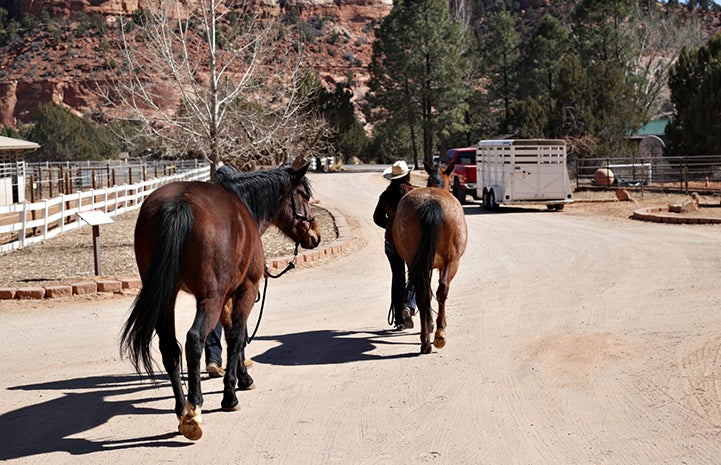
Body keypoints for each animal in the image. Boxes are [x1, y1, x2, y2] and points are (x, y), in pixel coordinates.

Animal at [120, 158, 320, 436]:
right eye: (304, 195)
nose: (315, 235)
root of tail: (179, 203)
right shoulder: (245, 289)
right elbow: (237, 336)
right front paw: (231, 394)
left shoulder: (225, 297)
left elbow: (228, 332)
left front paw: (242, 378)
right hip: (209, 298)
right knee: (194, 339)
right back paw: (194, 411)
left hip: (167, 299)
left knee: (169, 348)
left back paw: (182, 410)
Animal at [394, 161, 466, 354]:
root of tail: (432, 203)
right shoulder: (442, 265)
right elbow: (440, 290)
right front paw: (438, 326)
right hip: (452, 262)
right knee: (442, 291)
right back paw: (439, 335)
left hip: (415, 263)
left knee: (423, 295)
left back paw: (425, 340)